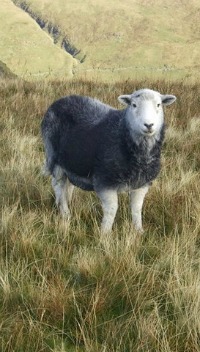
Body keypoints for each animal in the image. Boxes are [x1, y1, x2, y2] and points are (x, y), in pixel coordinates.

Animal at [41, 87, 176, 234]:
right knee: (58, 185)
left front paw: (139, 231)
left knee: (68, 184)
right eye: (134, 105)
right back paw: (65, 213)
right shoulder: (105, 181)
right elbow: (112, 209)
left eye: (158, 105)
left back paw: (68, 203)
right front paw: (105, 233)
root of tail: (60, 100)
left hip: (72, 162)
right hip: (54, 157)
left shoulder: (142, 183)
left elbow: (136, 208)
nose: (149, 125)